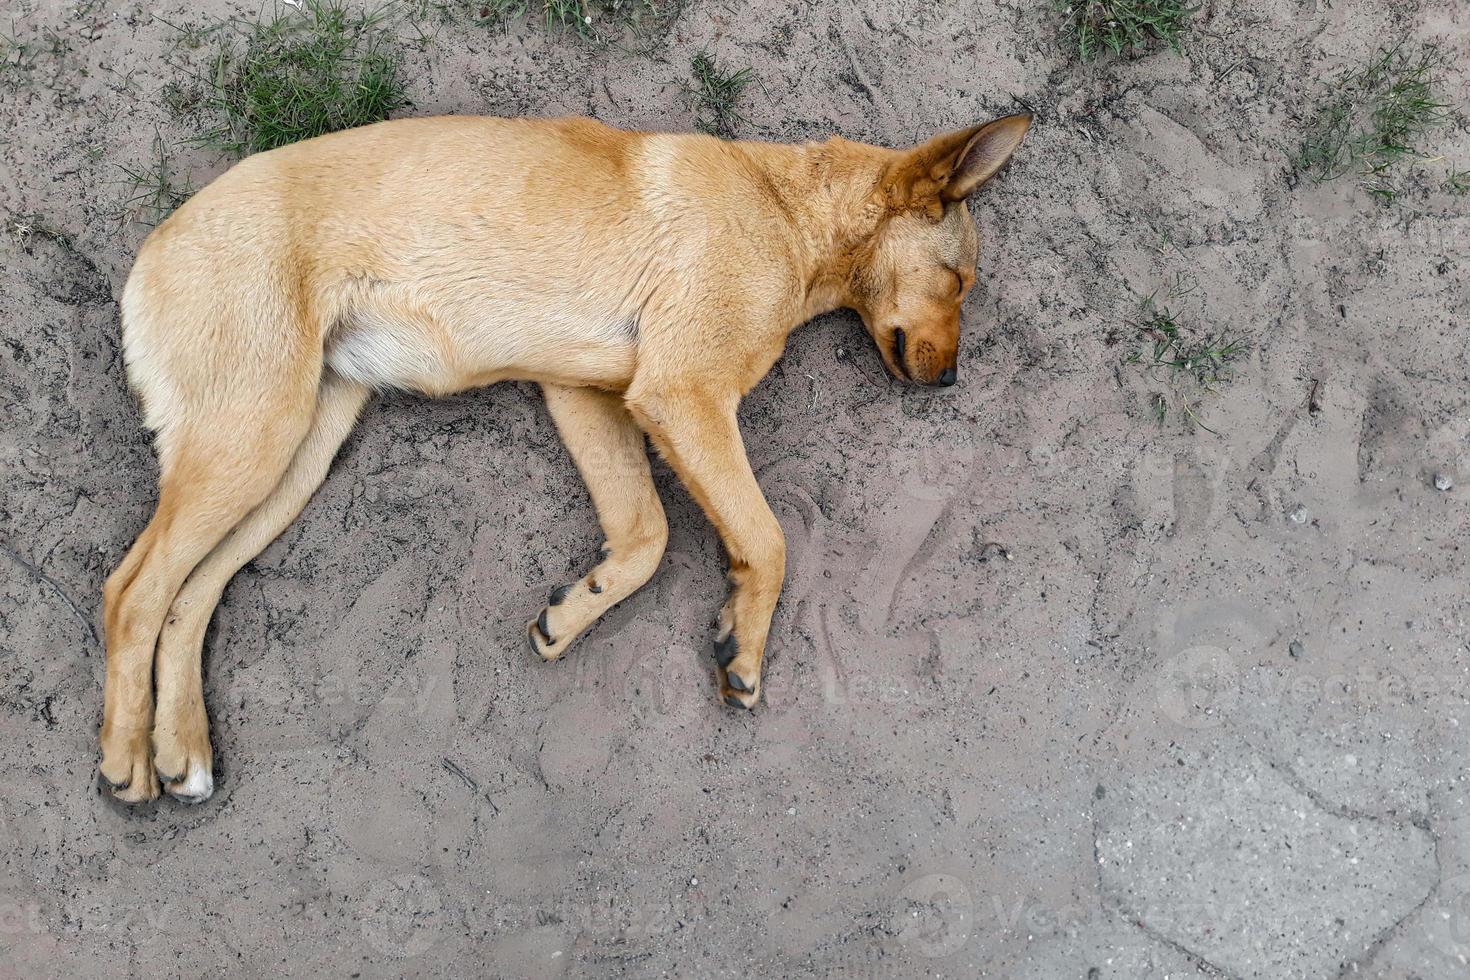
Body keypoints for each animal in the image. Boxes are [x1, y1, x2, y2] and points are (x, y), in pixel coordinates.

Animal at [100, 115, 1034, 805]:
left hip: (294, 455)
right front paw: (745, 648)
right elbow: (768, 540)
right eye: (960, 282)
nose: (952, 382)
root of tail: (161, 236)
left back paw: (182, 750)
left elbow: (647, 537)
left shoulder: (588, 396)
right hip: (251, 439)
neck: (786, 208)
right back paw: (125, 758)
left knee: (190, 597)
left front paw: (577, 612)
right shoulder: (683, 397)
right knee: (133, 591)